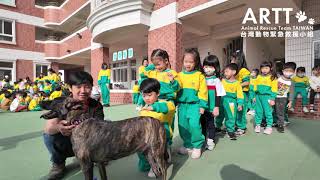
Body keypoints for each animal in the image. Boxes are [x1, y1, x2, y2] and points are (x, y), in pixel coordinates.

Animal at [40, 97, 168, 180]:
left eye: (55, 100)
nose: (40, 101)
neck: (78, 122)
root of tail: (159, 122)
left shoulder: (86, 165)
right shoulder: (100, 163)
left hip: (157, 154)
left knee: (163, 172)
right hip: (149, 154)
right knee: (157, 172)